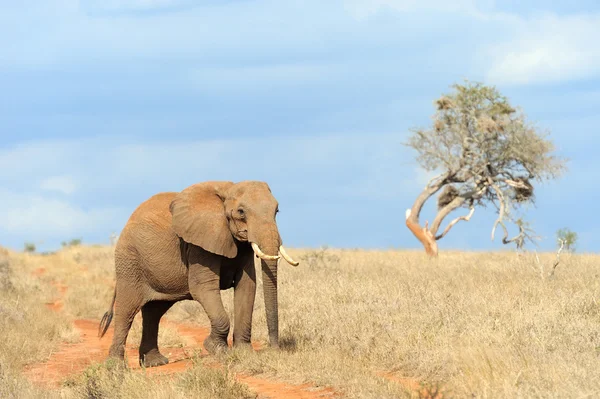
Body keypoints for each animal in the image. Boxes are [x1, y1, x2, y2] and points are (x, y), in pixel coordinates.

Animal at [98, 181, 300, 368]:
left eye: (277, 211)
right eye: (241, 212)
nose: (275, 349)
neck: (228, 189)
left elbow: (247, 287)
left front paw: (244, 353)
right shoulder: (199, 243)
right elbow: (203, 288)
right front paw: (217, 350)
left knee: (154, 312)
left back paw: (154, 363)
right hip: (129, 261)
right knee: (127, 311)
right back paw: (116, 367)